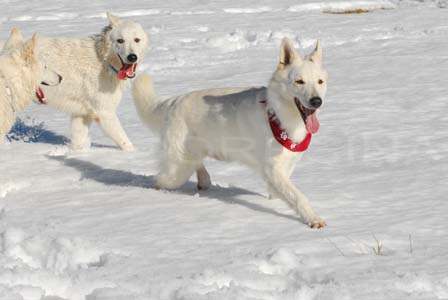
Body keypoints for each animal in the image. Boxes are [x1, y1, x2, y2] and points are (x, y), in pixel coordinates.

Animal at [27, 12, 149, 151]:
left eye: (137, 40)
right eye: (120, 40)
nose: (132, 57)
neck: (103, 61)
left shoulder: (82, 114)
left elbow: (78, 143)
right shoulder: (104, 112)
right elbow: (126, 143)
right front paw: (137, 154)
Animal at [133, 38, 328, 230]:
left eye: (320, 82)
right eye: (299, 81)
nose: (316, 101)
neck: (278, 115)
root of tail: (174, 101)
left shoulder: (283, 168)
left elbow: (280, 193)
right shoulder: (273, 170)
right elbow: (298, 196)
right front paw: (312, 218)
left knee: (197, 165)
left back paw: (203, 180)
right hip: (177, 171)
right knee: (159, 180)